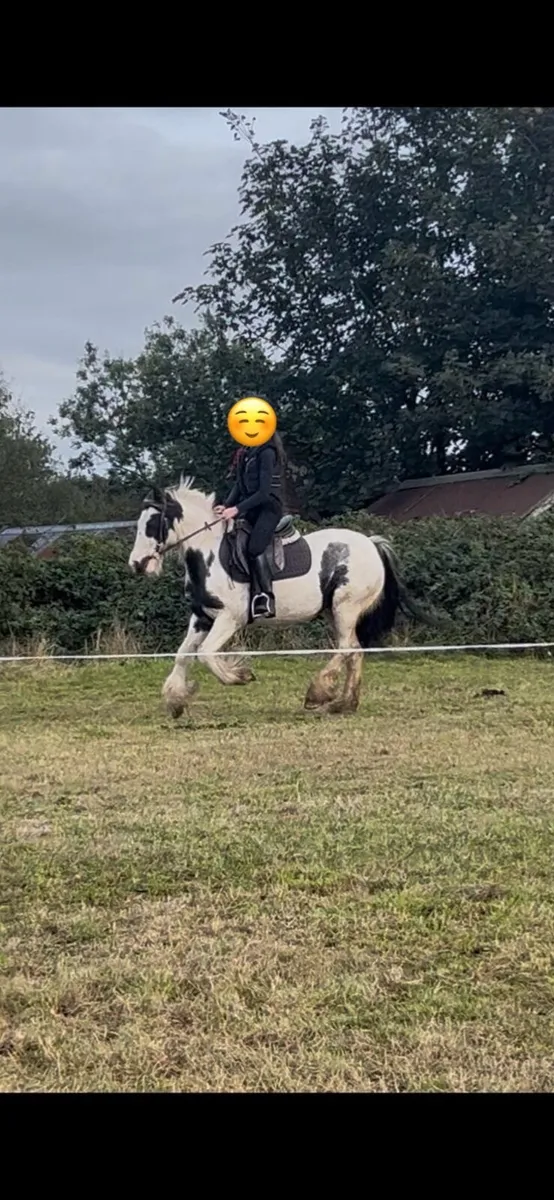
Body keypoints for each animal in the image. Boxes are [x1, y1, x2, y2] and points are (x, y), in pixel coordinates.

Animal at [128, 477, 424, 717]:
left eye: (152, 524)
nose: (137, 565)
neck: (208, 553)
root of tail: (372, 543)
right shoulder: (202, 617)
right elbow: (183, 654)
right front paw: (175, 701)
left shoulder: (229, 619)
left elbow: (205, 654)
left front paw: (239, 675)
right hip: (335, 611)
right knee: (355, 650)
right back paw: (344, 704)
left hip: (346, 607)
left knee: (346, 648)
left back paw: (317, 694)